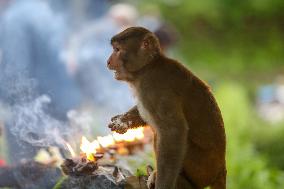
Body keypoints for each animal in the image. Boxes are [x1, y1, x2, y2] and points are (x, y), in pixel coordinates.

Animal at [106, 26, 226, 189]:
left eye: (117, 50)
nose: (108, 61)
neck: (148, 67)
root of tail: (221, 168)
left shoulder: (155, 87)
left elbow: (173, 132)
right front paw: (123, 121)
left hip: (203, 170)